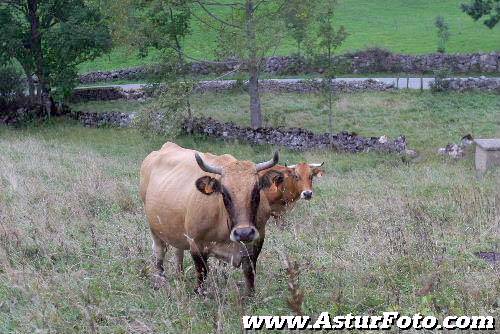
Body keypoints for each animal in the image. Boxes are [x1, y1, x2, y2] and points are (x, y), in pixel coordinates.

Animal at [141, 142, 280, 294]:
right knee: (159, 251)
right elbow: (201, 275)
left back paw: (180, 275)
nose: (244, 233)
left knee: (178, 251)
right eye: (224, 194)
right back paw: (160, 279)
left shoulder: (255, 243)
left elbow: (249, 275)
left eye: (256, 191)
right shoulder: (196, 244)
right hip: (153, 227)